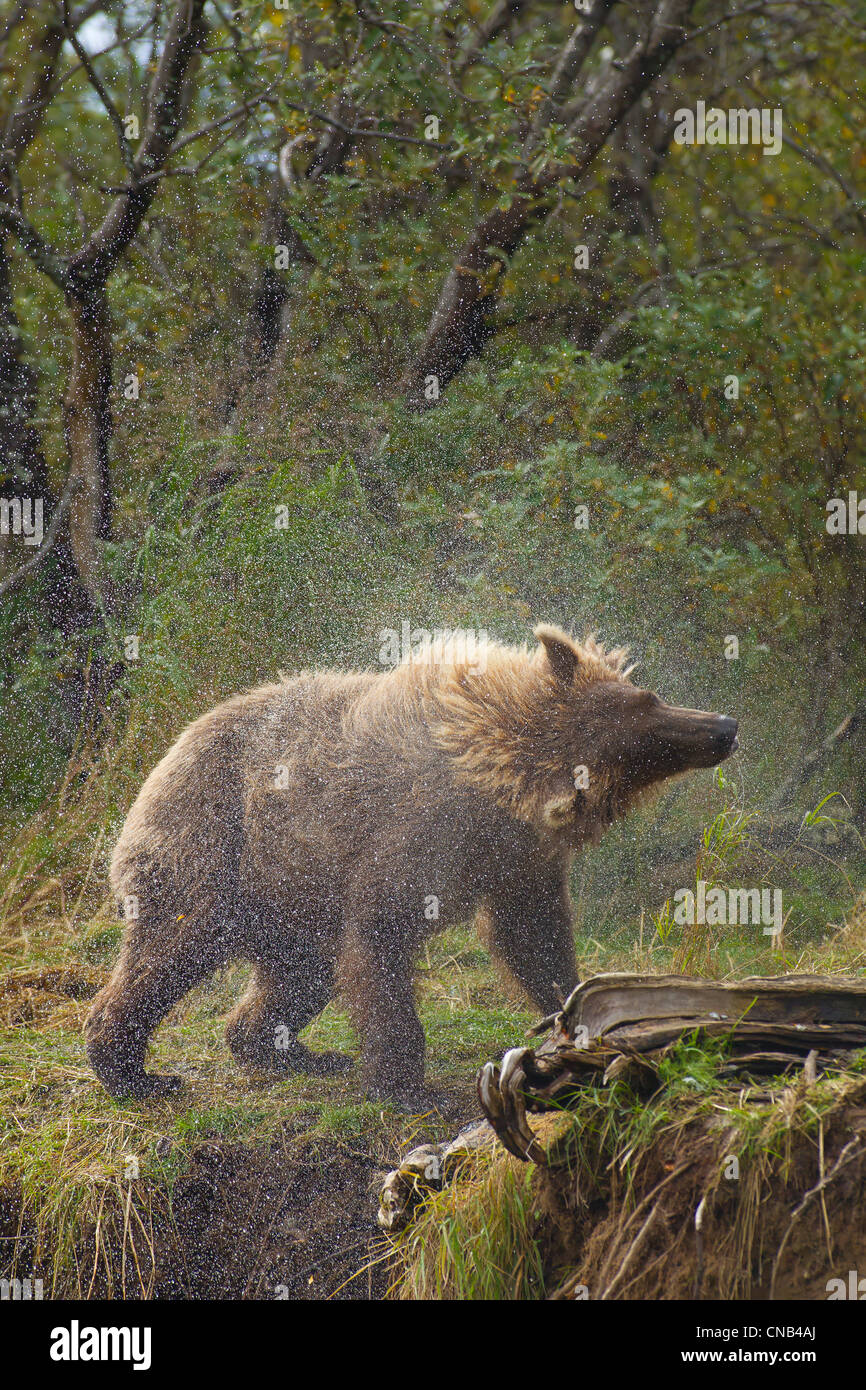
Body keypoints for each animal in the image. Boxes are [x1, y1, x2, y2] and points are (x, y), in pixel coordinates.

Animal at [86, 625, 739, 1100]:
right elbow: (380, 937)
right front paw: (401, 1081)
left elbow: (534, 937)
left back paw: (297, 1052)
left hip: (291, 901)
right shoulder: (411, 835)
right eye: (646, 718)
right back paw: (133, 1071)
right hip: (216, 845)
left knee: (299, 975)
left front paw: (578, 1014)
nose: (724, 725)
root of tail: (168, 752)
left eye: (648, 697)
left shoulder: (513, 860)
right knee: (171, 949)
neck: (493, 780)